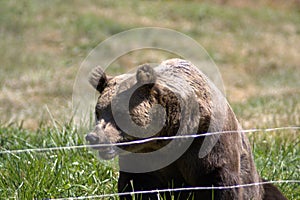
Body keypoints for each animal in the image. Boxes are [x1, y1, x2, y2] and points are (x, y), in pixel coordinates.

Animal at [85, 58, 288, 199]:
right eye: (98, 112)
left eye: (119, 113)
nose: (94, 137)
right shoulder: (146, 159)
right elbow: (136, 186)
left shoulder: (207, 146)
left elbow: (221, 184)